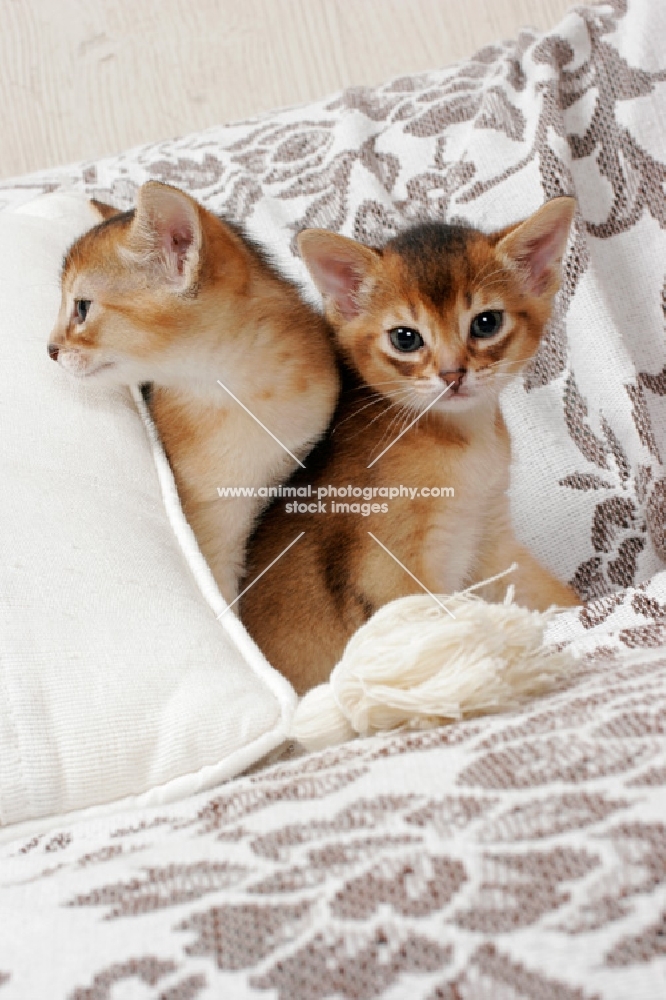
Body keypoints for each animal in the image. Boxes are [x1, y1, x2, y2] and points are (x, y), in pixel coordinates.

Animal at [241, 198, 580, 692]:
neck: (463, 442)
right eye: (405, 337)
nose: (453, 374)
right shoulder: (391, 574)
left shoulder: (489, 535)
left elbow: (552, 595)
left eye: (487, 323)